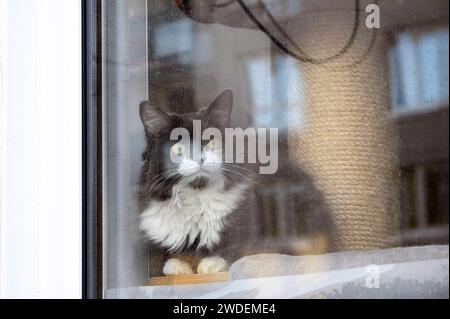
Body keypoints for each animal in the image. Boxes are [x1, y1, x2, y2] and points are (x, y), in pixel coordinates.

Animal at [137, 89, 330, 276]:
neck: (197, 197)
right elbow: (176, 255)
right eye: (179, 148)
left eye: (211, 142)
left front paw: (210, 264)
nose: (199, 158)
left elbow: (235, 250)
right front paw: (178, 267)